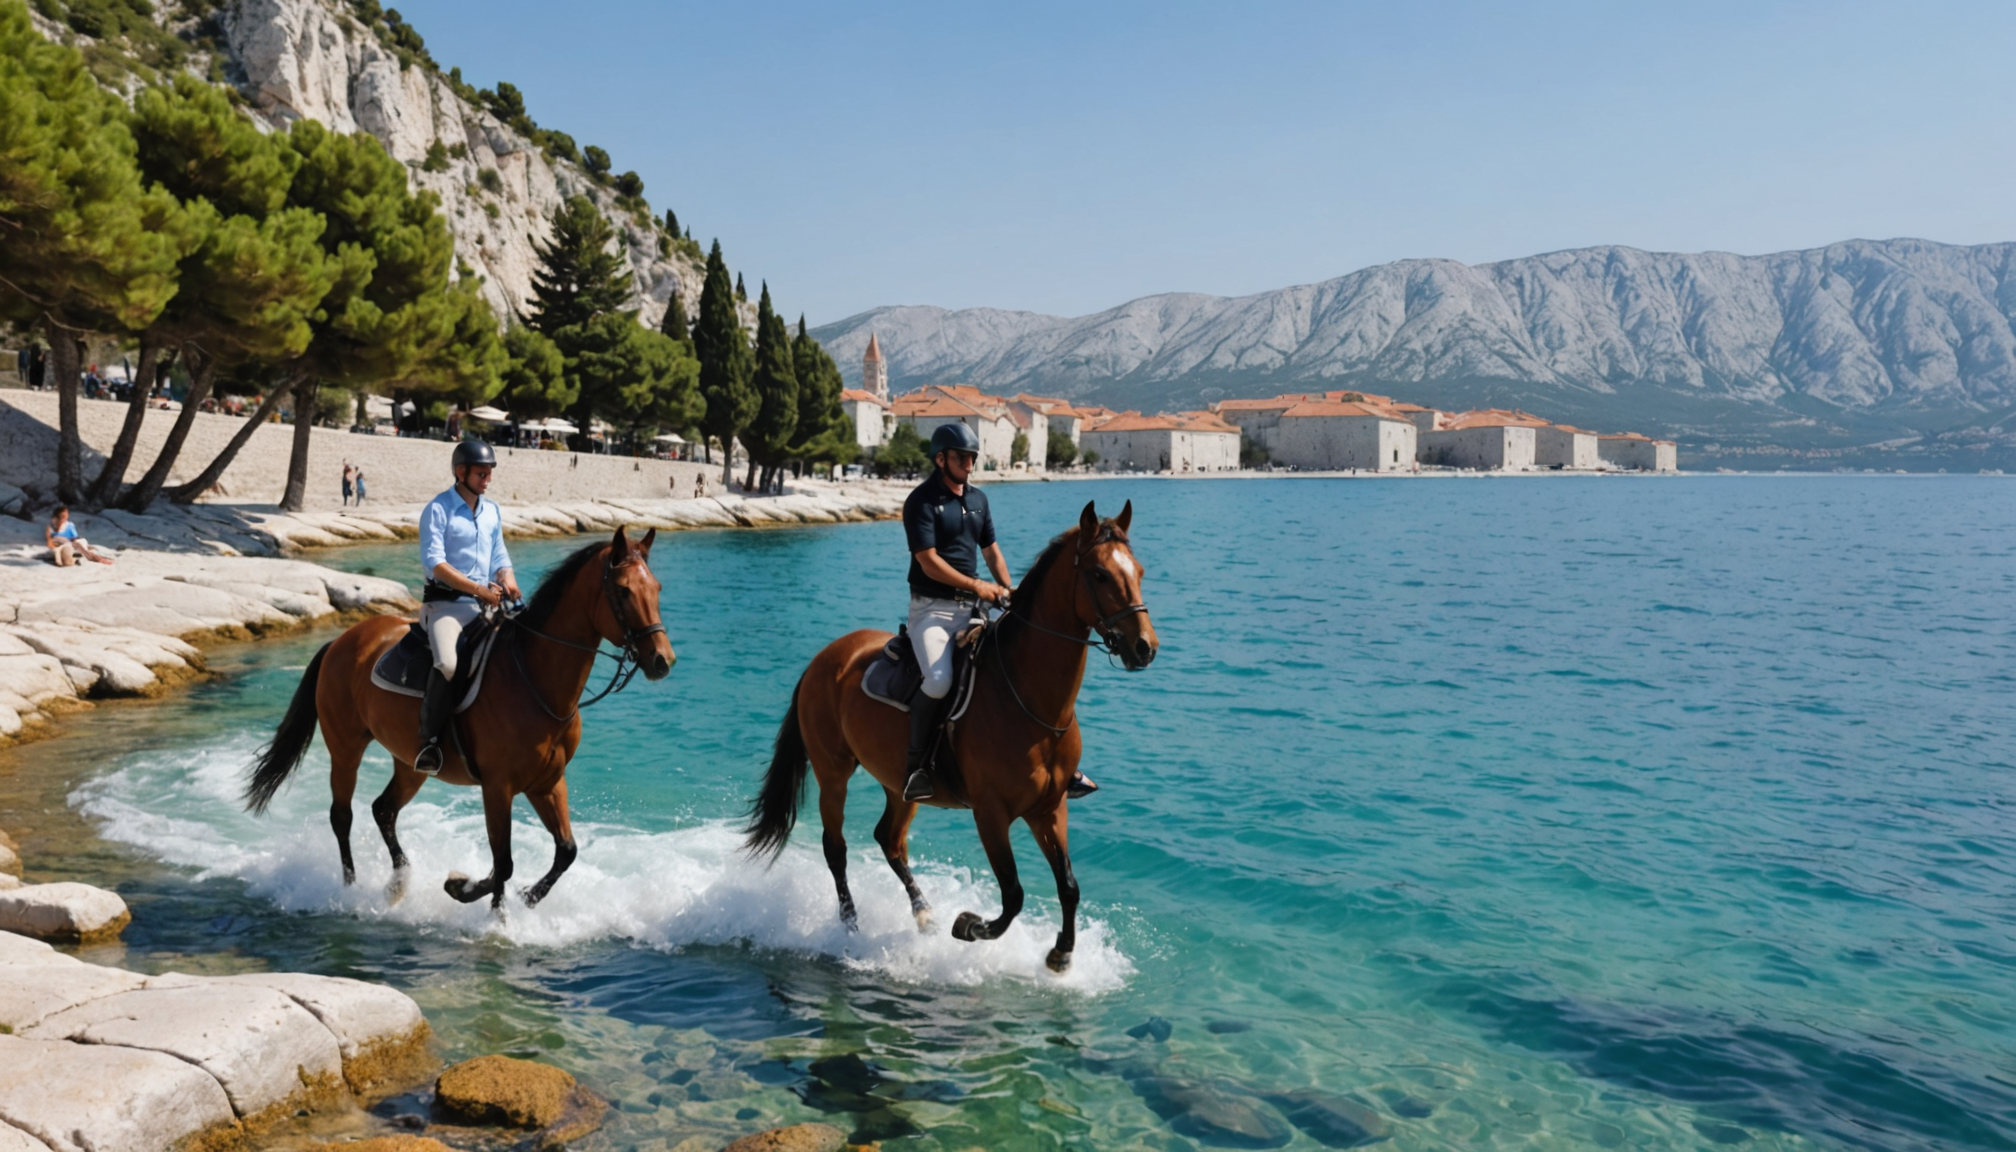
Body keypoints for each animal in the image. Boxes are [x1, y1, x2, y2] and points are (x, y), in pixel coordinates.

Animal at [242, 528, 676, 910]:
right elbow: (504, 862)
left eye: (656, 589)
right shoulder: (498, 787)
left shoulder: (548, 782)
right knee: (342, 816)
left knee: (383, 810)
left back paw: (399, 884)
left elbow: (565, 851)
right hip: (345, 748)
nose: (662, 660)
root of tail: (341, 641)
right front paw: (486, 912)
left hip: (410, 763)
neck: (534, 680)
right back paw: (348, 891)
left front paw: (518, 897)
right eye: (623, 590)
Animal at [744, 500, 1157, 973]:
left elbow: (1068, 885)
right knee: (837, 849)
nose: (1145, 647)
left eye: (1139, 571)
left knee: (890, 840)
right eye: (1100, 574)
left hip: (899, 785)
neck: (1029, 700)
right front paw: (969, 926)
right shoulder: (991, 814)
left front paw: (1061, 953)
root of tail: (824, 658)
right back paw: (849, 927)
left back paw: (924, 914)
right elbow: (1012, 895)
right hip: (833, 775)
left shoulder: (1050, 808)